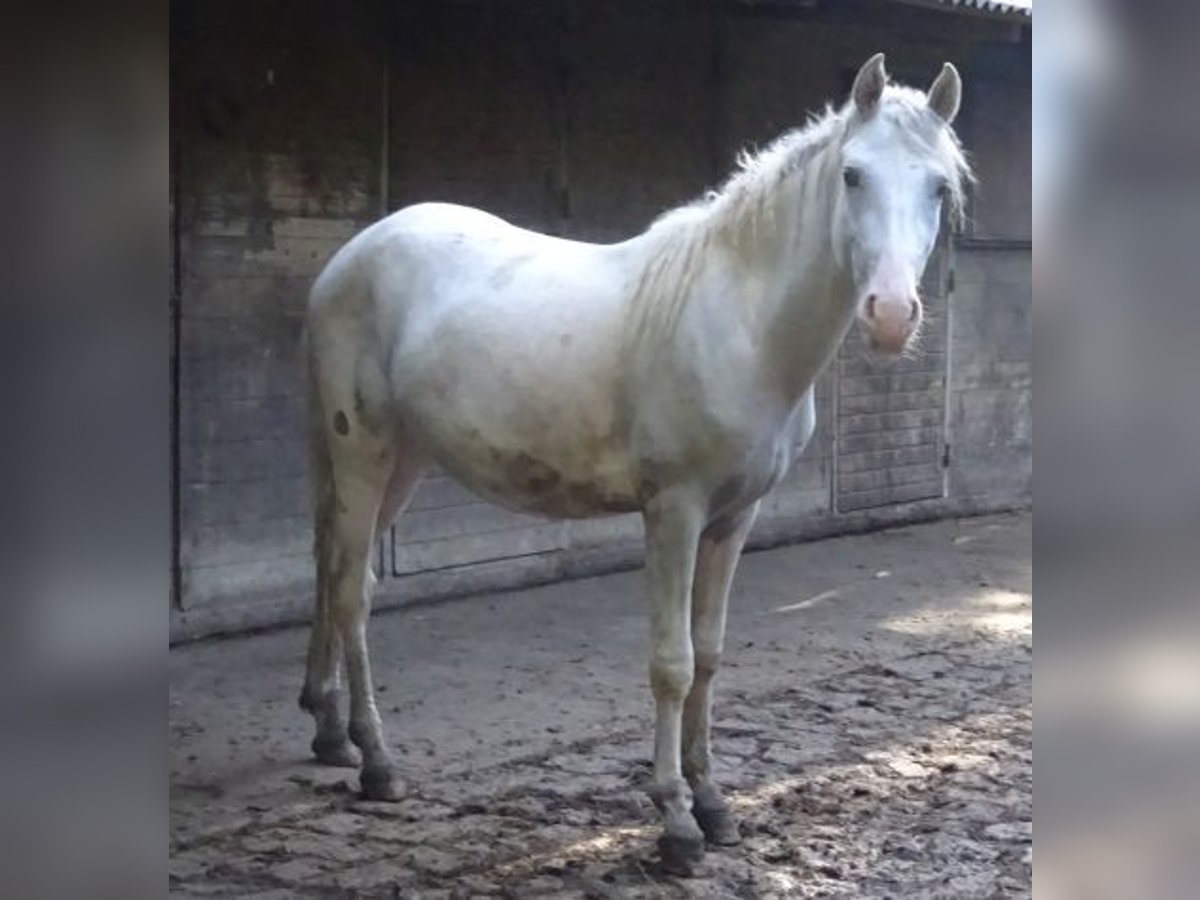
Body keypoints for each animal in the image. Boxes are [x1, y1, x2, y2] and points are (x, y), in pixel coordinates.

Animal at [299, 53, 970, 875]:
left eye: (939, 186)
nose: (892, 315)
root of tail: (348, 259)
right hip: (363, 451)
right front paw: (676, 822)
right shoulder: (673, 512)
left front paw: (714, 803)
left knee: (338, 572)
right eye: (852, 175)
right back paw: (377, 762)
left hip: (403, 460)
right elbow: (672, 664)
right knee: (353, 593)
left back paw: (329, 732)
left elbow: (709, 654)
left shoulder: (733, 518)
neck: (740, 322)